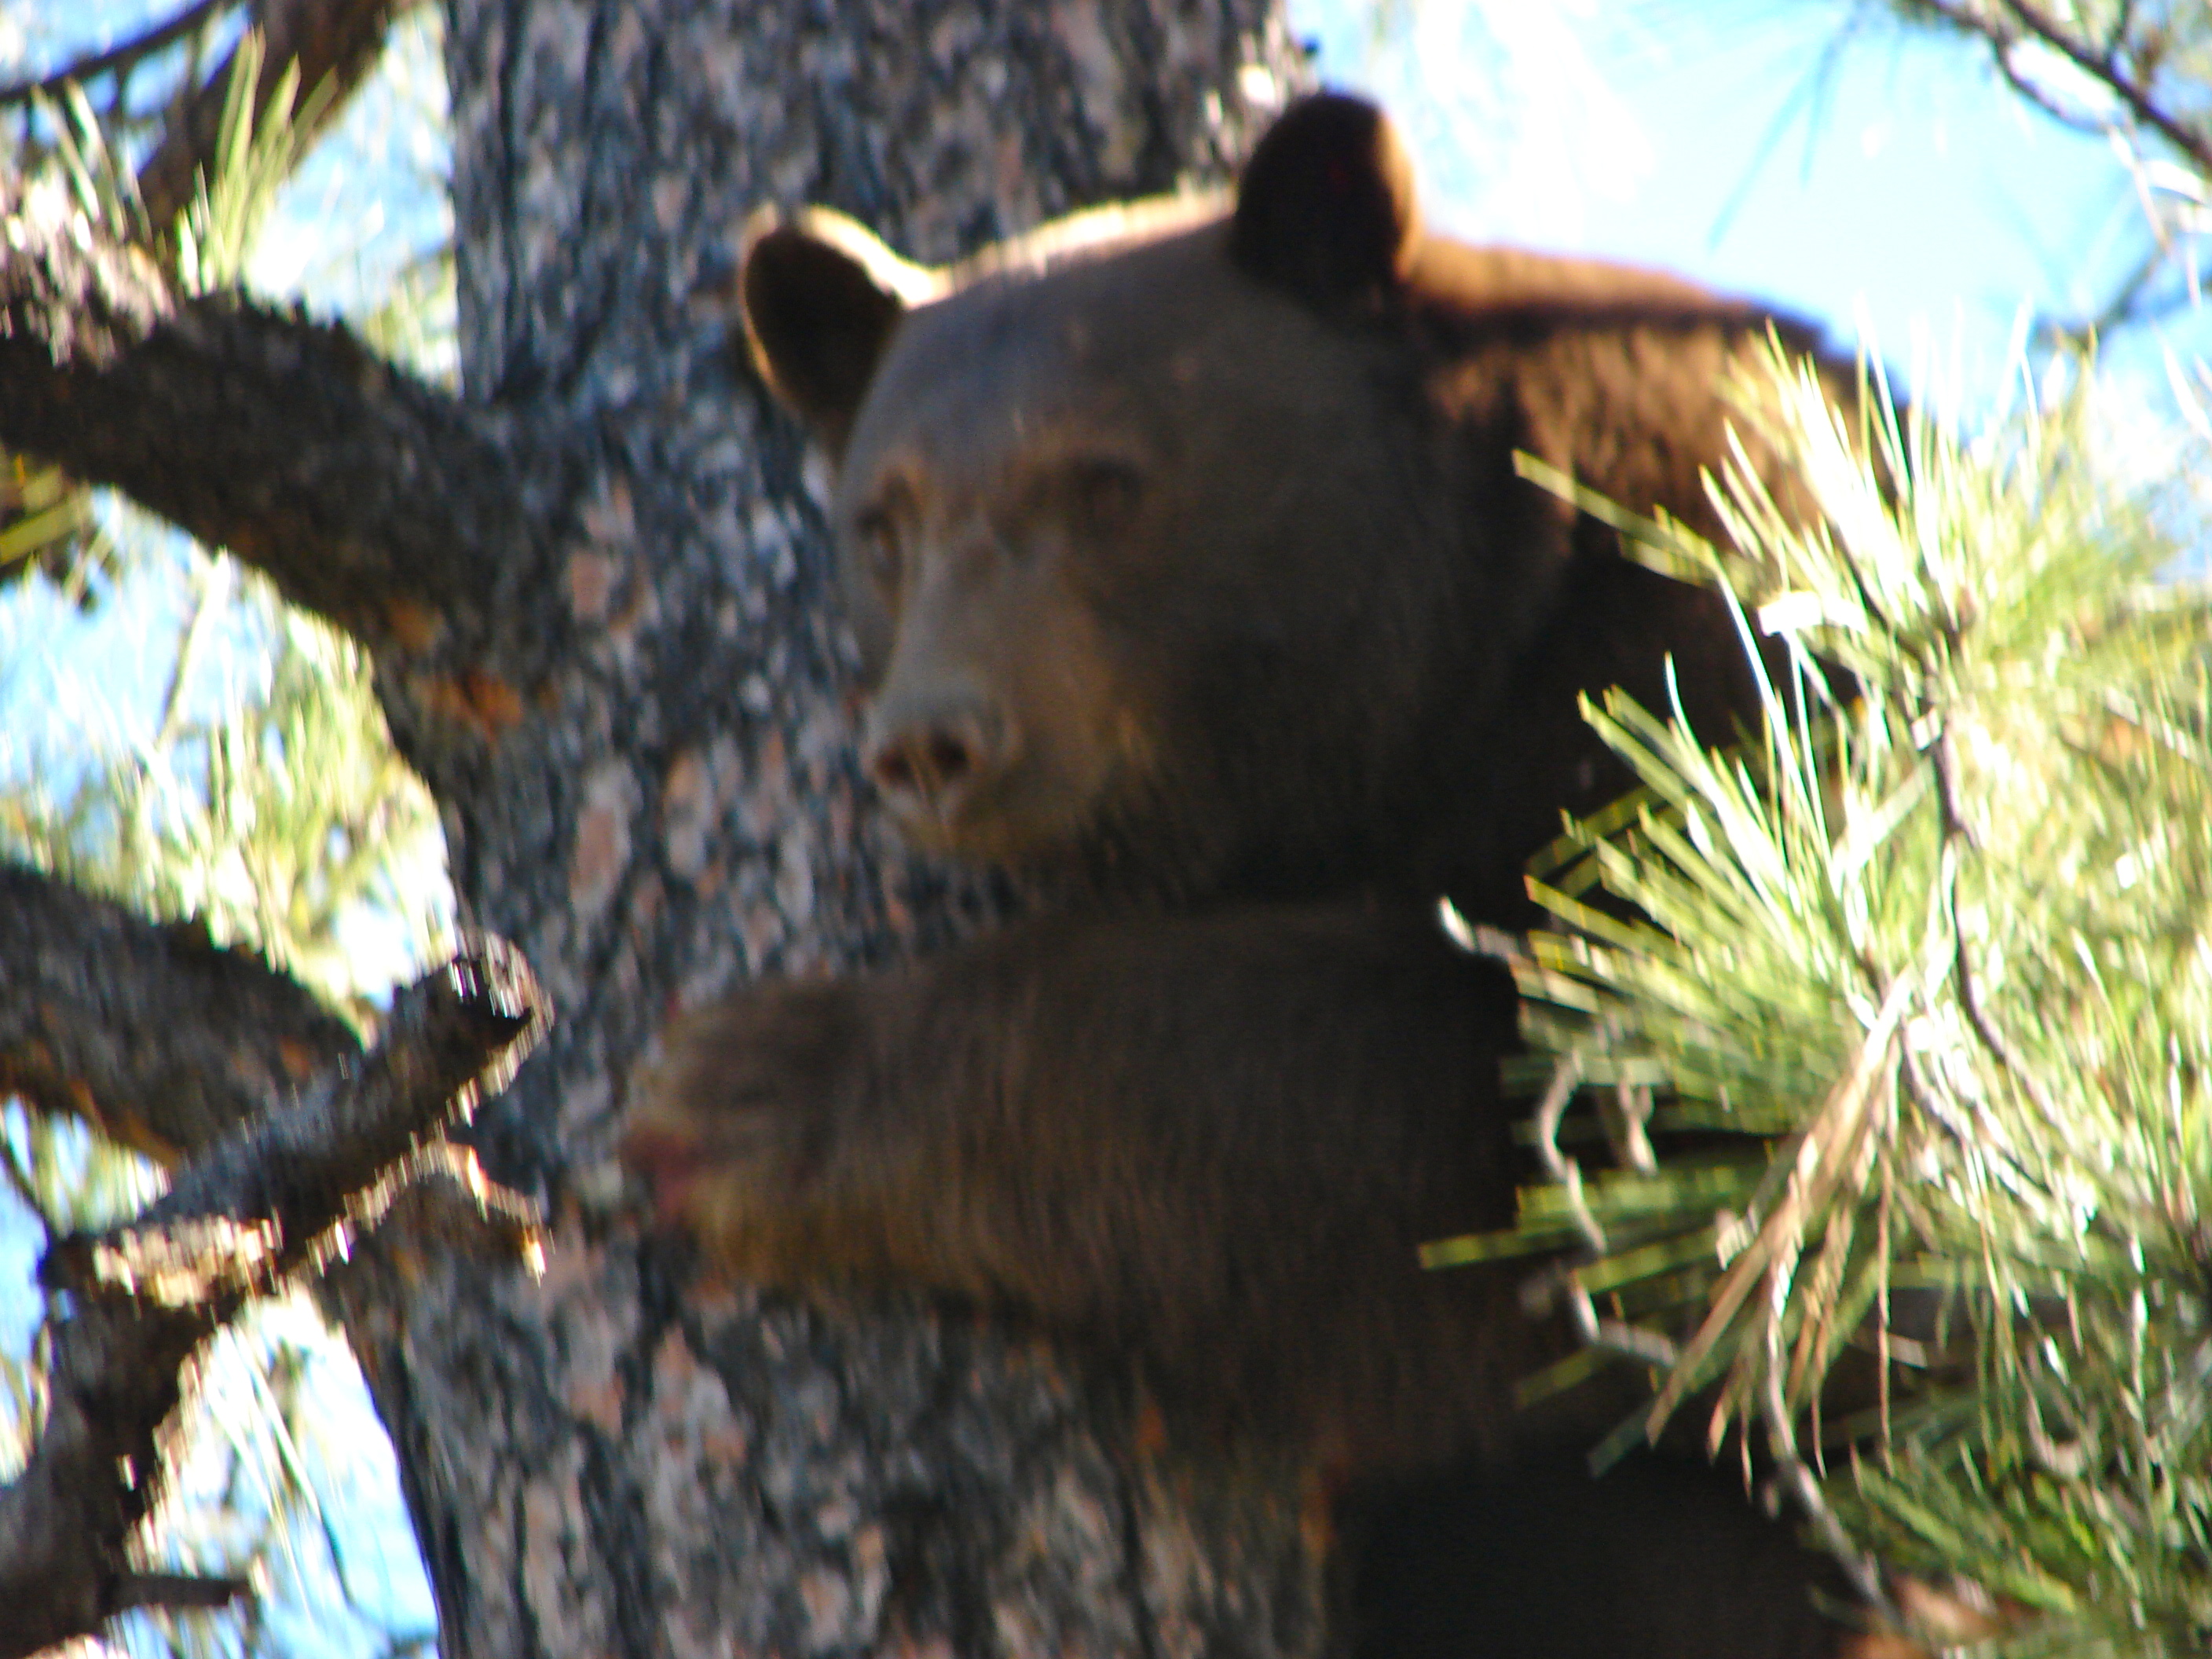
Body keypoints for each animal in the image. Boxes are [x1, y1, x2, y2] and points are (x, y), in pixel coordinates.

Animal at [625, 92, 1887, 1658]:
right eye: (885, 523)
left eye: (1107, 483)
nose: (934, 740)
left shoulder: (1739, 665)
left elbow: (1608, 1135)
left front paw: (757, 1085)